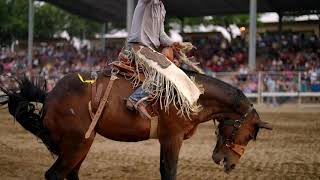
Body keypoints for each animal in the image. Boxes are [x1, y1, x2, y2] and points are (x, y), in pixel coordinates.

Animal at [0, 70, 272, 180]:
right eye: (250, 135)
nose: (228, 163)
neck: (191, 95)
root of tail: (49, 96)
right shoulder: (171, 138)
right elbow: (169, 172)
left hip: (82, 144)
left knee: (70, 174)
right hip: (77, 144)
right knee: (55, 174)